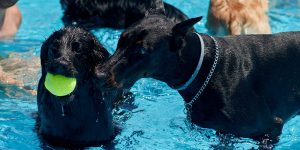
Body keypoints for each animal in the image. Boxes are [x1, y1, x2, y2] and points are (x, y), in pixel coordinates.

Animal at [97, 9, 300, 146]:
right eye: (120, 40)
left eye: (141, 51)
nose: (98, 74)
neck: (205, 69)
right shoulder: (223, 132)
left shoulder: (270, 128)